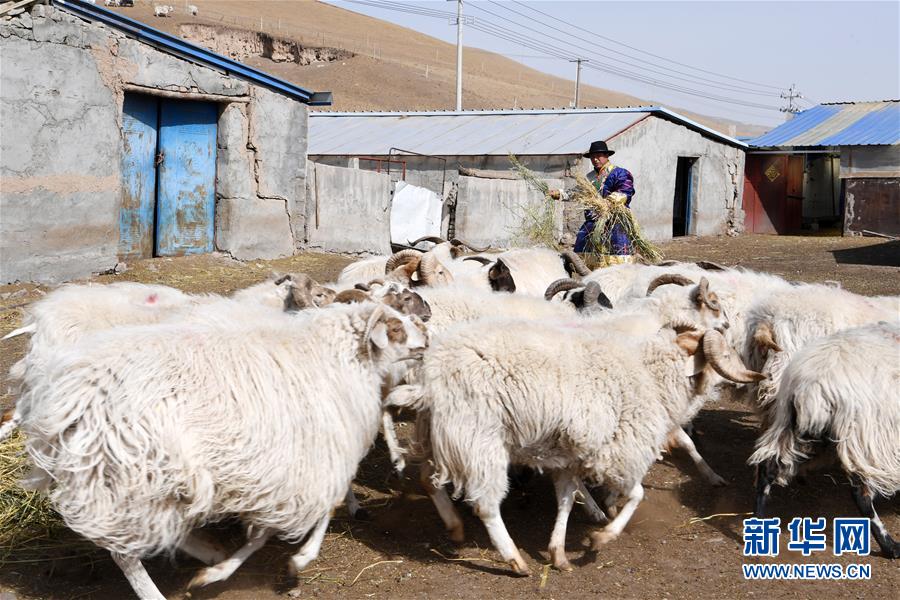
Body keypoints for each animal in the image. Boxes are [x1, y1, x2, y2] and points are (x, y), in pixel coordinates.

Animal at [19, 304, 428, 600]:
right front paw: (297, 561)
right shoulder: (309, 463)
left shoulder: (278, 473)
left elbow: (268, 529)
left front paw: (220, 568)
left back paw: (207, 551)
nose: (426, 333)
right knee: (125, 553)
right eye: (395, 328)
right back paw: (158, 590)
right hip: (136, 478)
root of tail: (75, 397)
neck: (336, 358)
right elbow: (318, 513)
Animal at [748, 322, 900, 560]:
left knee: (767, 468)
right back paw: (890, 547)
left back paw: (760, 529)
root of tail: (810, 384)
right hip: (863, 438)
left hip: (797, 428)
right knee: (860, 494)